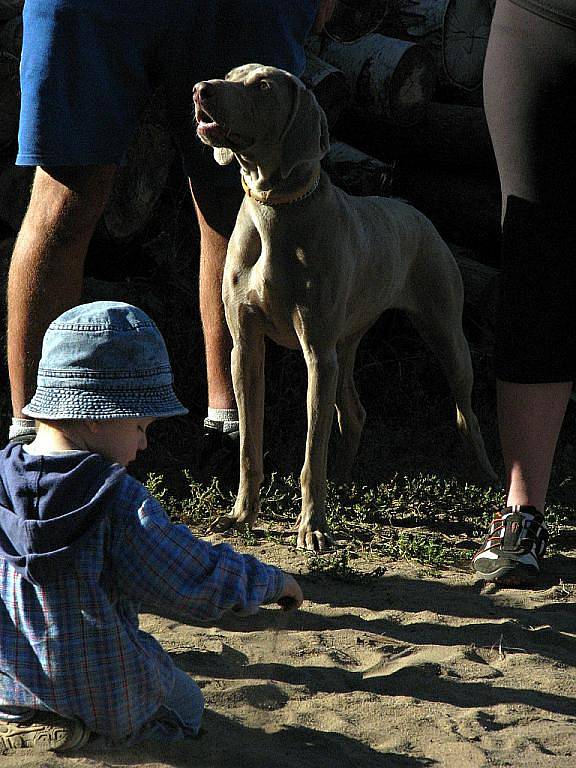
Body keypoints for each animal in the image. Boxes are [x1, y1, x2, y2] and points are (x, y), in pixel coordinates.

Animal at [194, 63, 496, 548]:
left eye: (263, 86)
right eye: (229, 75)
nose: (200, 90)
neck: (277, 210)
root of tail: (414, 210)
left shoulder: (317, 354)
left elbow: (311, 452)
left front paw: (313, 527)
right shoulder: (247, 350)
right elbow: (249, 446)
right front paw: (241, 515)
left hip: (446, 336)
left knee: (466, 414)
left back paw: (491, 479)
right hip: (347, 345)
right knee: (354, 413)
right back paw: (342, 481)